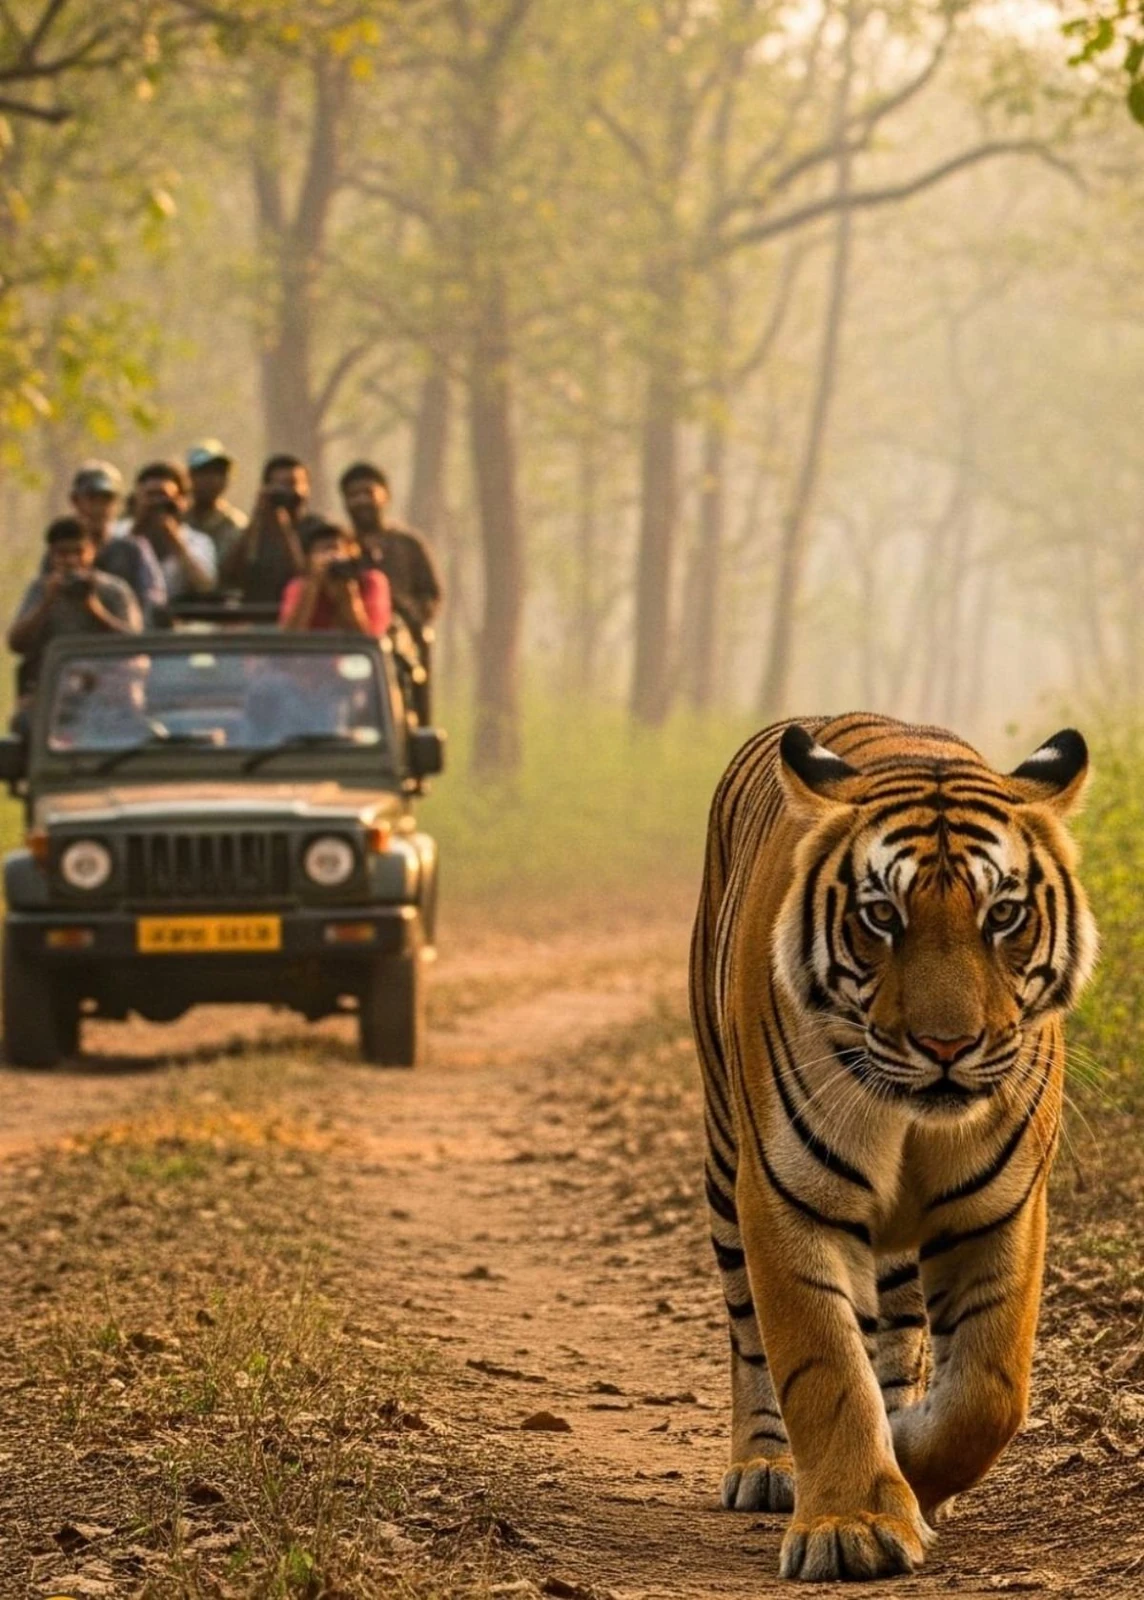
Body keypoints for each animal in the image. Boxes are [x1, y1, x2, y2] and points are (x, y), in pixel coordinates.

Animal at [690, 713, 1097, 1583]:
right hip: (724, 1163)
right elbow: (824, 1369)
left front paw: (909, 1459)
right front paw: (853, 1524)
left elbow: (987, 1391)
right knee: (749, 1337)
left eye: (1002, 915)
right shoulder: (787, 1195)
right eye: (882, 917)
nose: (947, 1046)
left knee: (904, 1338)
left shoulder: (1002, 1207)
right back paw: (766, 1466)